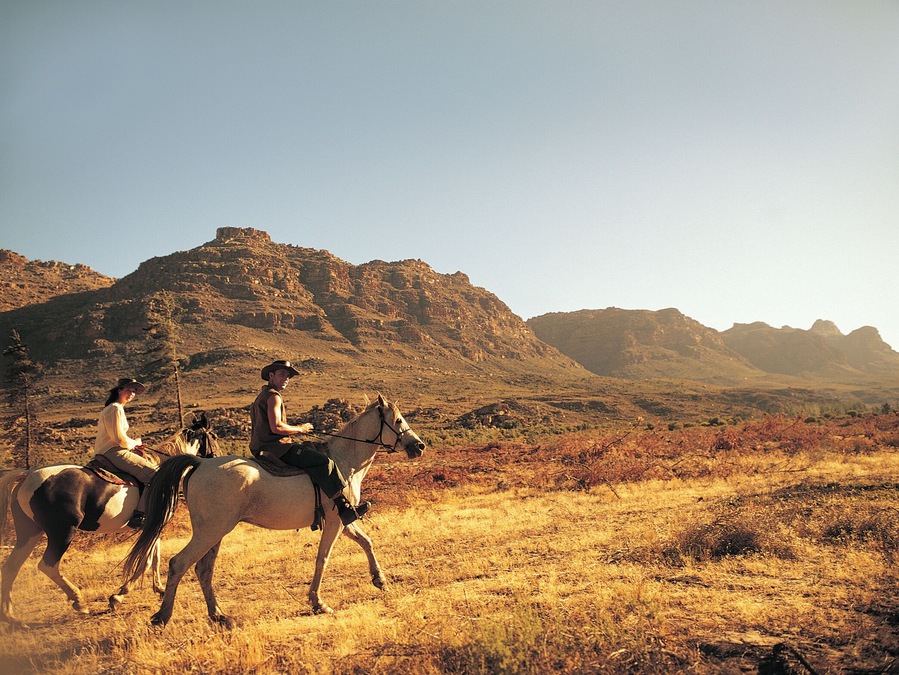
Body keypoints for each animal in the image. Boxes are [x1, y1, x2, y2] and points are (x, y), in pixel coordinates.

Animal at [0, 414, 218, 626]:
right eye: (213, 436)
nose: (215, 459)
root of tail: (27, 476)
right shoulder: (155, 524)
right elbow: (146, 561)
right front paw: (118, 596)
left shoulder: (153, 525)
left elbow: (154, 557)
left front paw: (159, 588)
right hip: (62, 532)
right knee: (47, 565)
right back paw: (78, 601)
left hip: (30, 533)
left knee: (11, 568)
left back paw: (11, 616)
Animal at [122, 394, 425, 627]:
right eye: (399, 420)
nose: (419, 446)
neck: (344, 461)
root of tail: (200, 463)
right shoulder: (335, 522)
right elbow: (323, 558)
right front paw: (318, 602)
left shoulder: (344, 520)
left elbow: (366, 542)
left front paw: (380, 579)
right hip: (210, 532)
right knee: (179, 563)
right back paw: (162, 616)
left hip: (214, 533)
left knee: (203, 569)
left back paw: (219, 616)